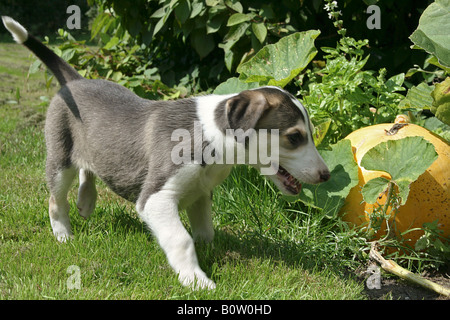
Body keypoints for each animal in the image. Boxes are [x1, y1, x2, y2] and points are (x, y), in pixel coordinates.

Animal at [3, 16, 330, 290]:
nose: (326, 175)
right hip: (60, 157)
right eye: (294, 137)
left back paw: (86, 201)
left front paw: (209, 252)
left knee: (90, 167)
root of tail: (75, 81)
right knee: (56, 199)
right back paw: (64, 235)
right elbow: (181, 239)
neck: (213, 139)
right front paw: (197, 280)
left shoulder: (200, 193)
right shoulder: (156, 198)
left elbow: (205, 231)